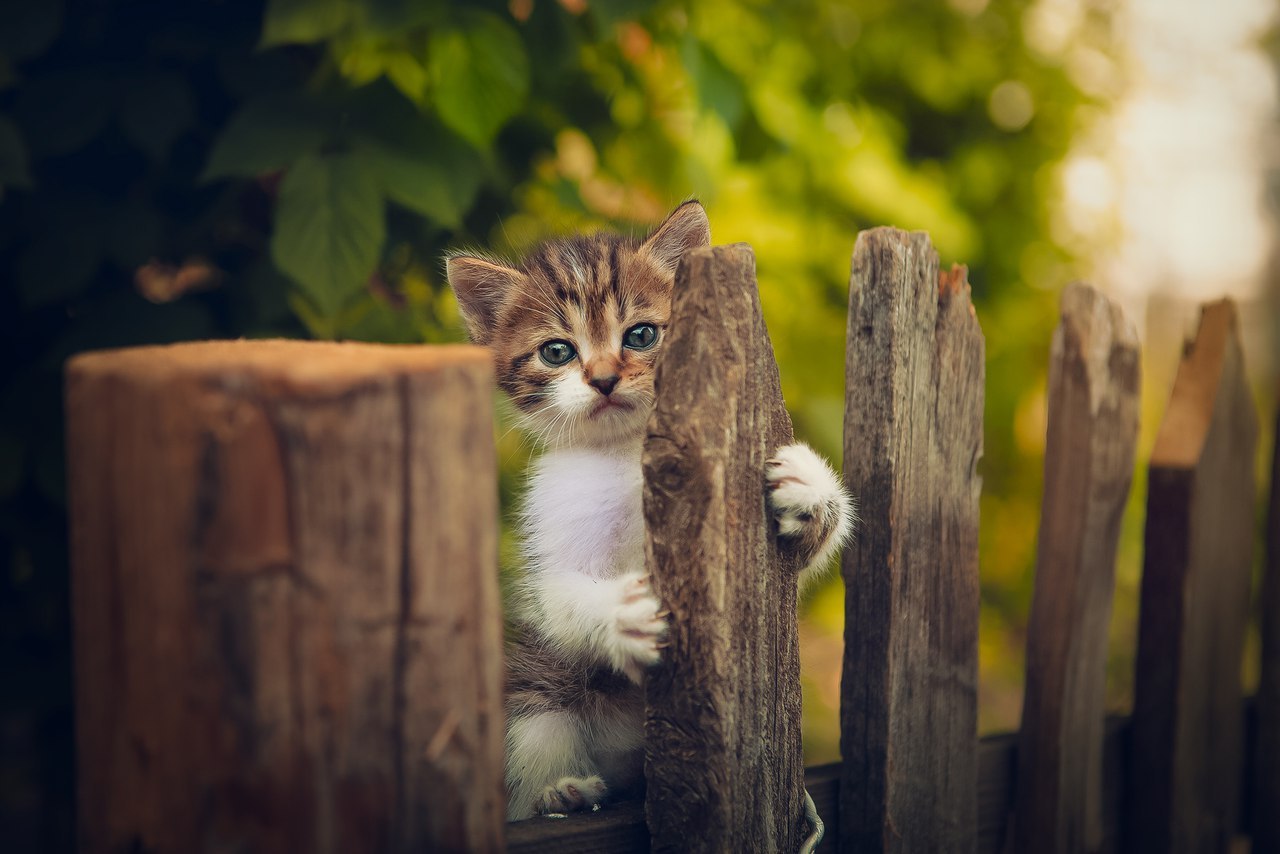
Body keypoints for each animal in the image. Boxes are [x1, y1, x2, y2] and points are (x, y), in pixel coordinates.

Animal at [445, 201, 855, 819]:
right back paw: (559, 790)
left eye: (640, 335)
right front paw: (622, 614)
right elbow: (558, 597)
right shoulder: (547, 549)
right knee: (539, 718)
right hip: (533, 684)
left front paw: (808, 486)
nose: (603, 378)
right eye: (557, 351)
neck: (625, 453)